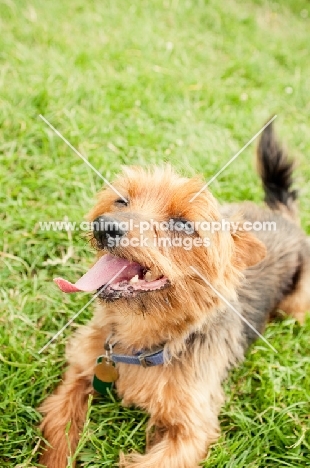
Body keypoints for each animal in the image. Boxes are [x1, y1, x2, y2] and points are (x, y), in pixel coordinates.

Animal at [40, 123, 308, 468]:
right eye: (121, 201)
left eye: (182, 224)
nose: (104, 226)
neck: (140, 339)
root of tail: (282, 215)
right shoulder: (81, 369)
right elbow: (61, 424)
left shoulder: (191, 430)